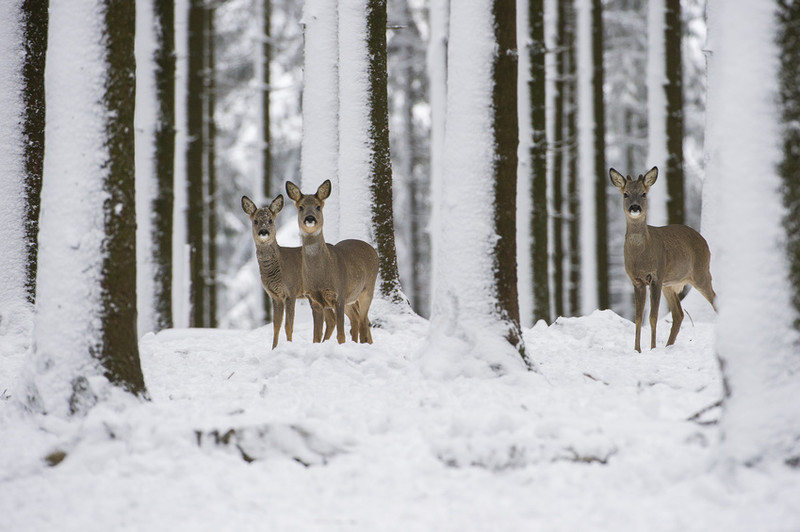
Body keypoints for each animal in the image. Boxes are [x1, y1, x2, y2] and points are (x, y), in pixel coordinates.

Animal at [242, 193, 332, 348]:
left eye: (270, 220)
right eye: (255, 221)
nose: (264, 232)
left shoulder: (291, 291)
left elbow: (288, 326)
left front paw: (288, 345)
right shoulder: (275, 296)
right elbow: (276, 326)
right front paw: (274, 349)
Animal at [284, 180, 378, 344]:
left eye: (318, 206)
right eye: (301, 207)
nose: (310, 218)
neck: (320, 276)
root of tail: (374, 251)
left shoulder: (338, 294)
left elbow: (340, 334)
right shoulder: (314, 300)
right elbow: (316, 335)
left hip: (367, 290)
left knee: (363, 322)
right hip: (350, 298)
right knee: (357, 320)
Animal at [608, 168, 716, 352]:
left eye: (643, 193)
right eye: (626, 194)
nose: (635, 207)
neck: (641, 256)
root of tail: (703, 240)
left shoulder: (656, 276)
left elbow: (653, 316)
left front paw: (652, 348)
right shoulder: (636, 281)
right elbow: (638, 318)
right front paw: (637, 350)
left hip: (701, 272)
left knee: (715, 299)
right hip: (670, 284)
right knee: (679, 314)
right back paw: (668, 346)